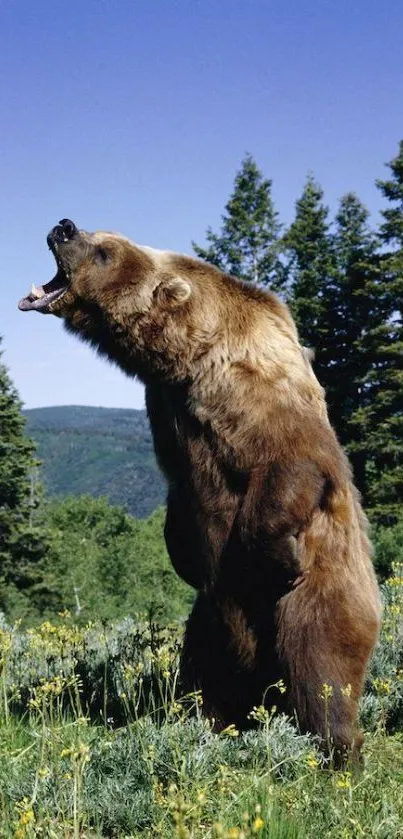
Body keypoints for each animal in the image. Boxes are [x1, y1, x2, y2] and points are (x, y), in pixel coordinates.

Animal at [19, 217, 382, 760]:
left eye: (105, 251)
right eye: (97, 234)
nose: (64, 226)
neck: (189, 356)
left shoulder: (256, 391)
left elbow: (292, 463)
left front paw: (279, 555)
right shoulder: (169, 412)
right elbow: (180, 495)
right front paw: (182, 554)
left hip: (325, 592)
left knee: (320, 667)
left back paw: (336, 752)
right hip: (209, 623)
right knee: (205, 677)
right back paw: (209, 726)